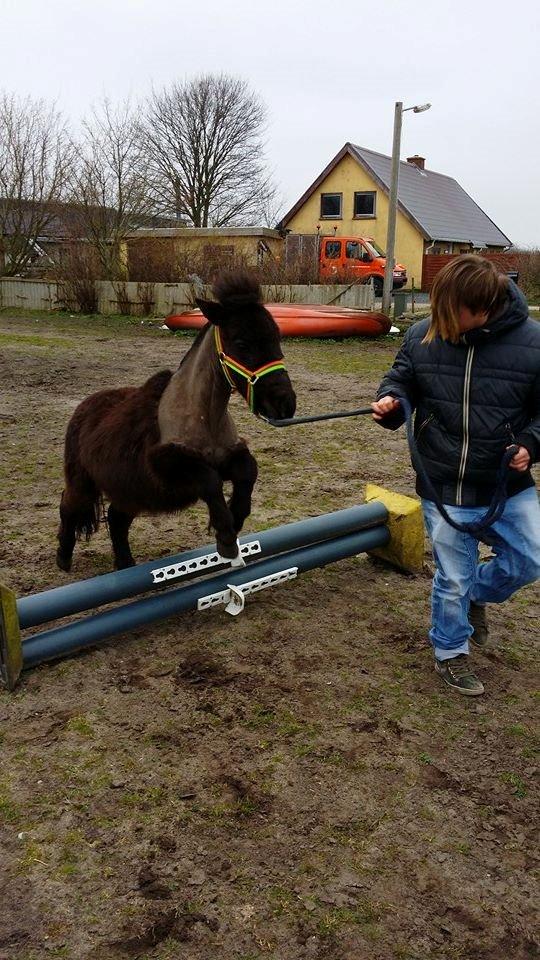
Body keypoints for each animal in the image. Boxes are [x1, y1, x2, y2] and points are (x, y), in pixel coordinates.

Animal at [56, 270, 296, 568]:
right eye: (242, 343)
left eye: (277, 337)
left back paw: (125, 564)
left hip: (132, 492)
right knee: (69, 505)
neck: (202, 416)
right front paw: (226, 537)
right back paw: (63, 557)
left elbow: (248, 470)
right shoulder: (167, 465)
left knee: (117, 519)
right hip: (84, 483)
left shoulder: (229, 457)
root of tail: (83, 408)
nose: (285, 404)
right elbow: (209, 480)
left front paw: (236, 517)